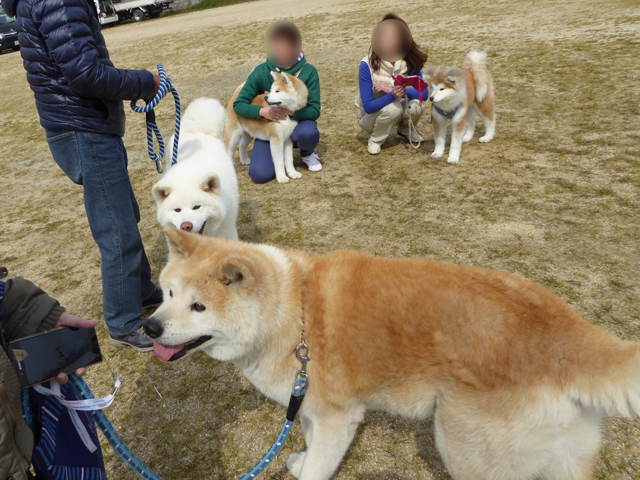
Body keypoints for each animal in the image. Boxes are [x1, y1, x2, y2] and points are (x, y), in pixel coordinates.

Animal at [145, 230, 640, 480]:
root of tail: (567, 334)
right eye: (167, 294)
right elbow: (309, 445)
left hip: (462, 447)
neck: (294, 312)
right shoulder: (310, 409)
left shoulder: (337, 417)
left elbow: (318, 466)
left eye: (198, 307)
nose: (148, 328)